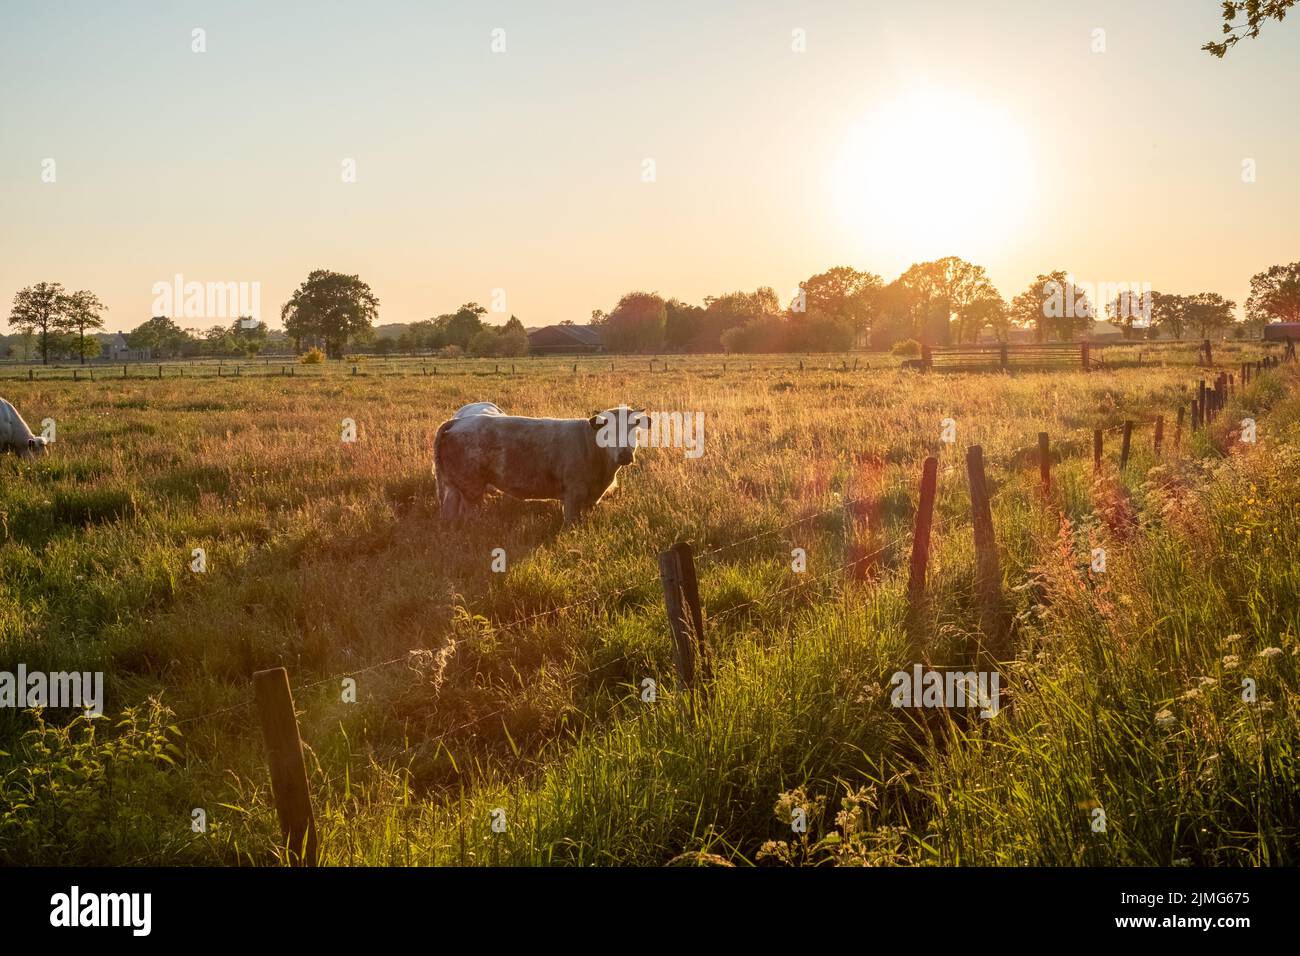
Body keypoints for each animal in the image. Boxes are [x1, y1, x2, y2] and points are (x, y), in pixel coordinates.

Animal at [434, 403, 649, 524]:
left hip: (454, 489)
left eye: (635, 428)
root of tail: (459, 421)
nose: (624, 455)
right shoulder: (573, 494)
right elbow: (571, 524)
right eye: (607, 431)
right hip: (472, 489)